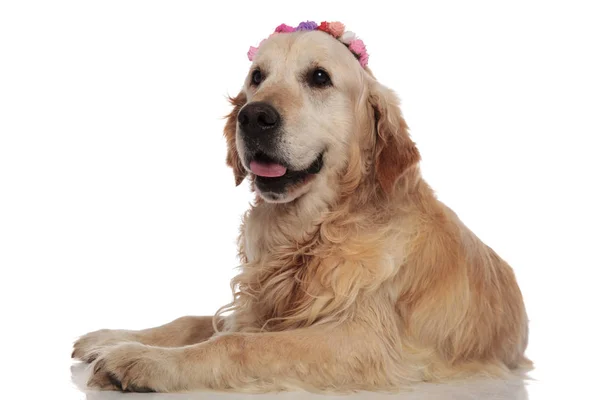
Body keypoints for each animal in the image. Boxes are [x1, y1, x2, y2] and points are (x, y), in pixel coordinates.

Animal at [71, 22, 528, 394]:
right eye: (257, 77)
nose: (253, 116)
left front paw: (141, 358)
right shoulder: (254, 307)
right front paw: (110, 337)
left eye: (319, 77)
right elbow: (192, 321)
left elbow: (236, 343)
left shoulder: (362, 341)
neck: (310, 231)